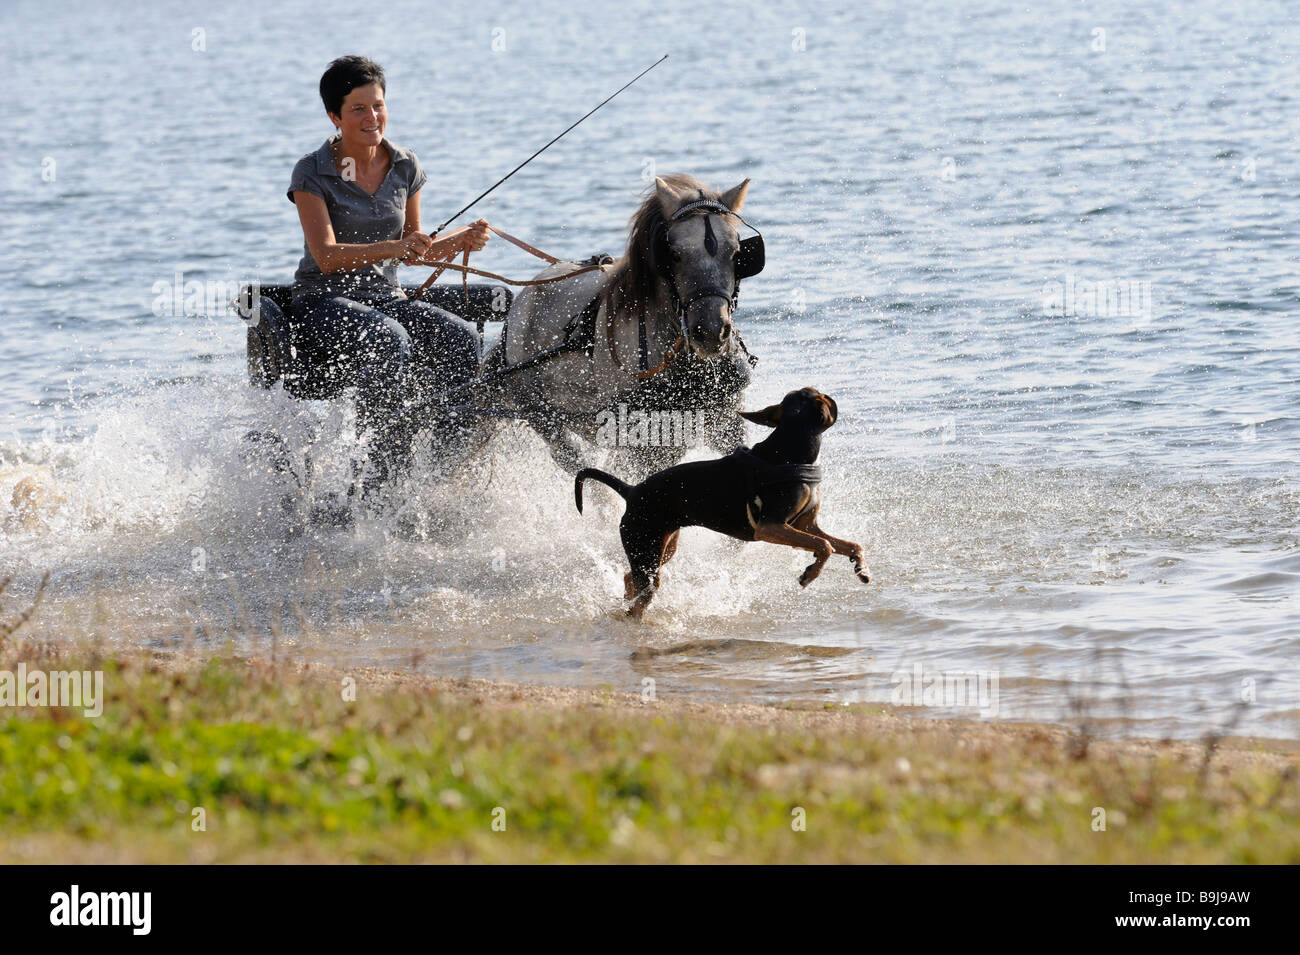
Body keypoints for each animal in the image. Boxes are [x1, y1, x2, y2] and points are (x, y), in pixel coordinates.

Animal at [475, 174, 759, 478]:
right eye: (674, 254)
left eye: (737, 252)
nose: (710, 331)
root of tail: (519, 307)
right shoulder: (641, 440)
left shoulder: (724, 421)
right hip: (543, 417)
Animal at [574, 389, 868, 621]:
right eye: (821, 397)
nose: (832, 397)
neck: (789, 451)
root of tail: (631, 491)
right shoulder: (771, 527)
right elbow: (825, 546)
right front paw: (810, 574)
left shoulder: (805, 526)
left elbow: (849, 544)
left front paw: (861, 568)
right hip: (646, 547)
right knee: (640, 596)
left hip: (663, 548)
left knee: (628, 577)